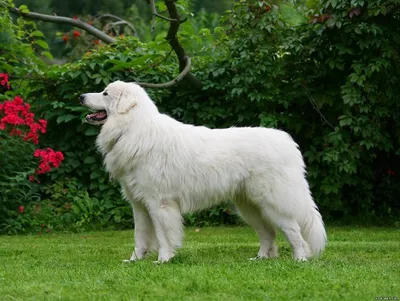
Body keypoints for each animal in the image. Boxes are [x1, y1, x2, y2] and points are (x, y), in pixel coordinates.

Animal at [79, 81, 326, 262]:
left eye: (105, 93)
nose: (80, 96)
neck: (133, 128)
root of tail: (287, 142)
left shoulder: (160, 203)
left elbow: (163, 235)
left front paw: (163, 260)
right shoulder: (139, 205)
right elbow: (140, 237)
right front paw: (134, 261)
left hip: (273, 203)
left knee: (294, 231)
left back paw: (300, 259)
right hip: (249, 207)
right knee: (269, 234)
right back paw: (260, 259)